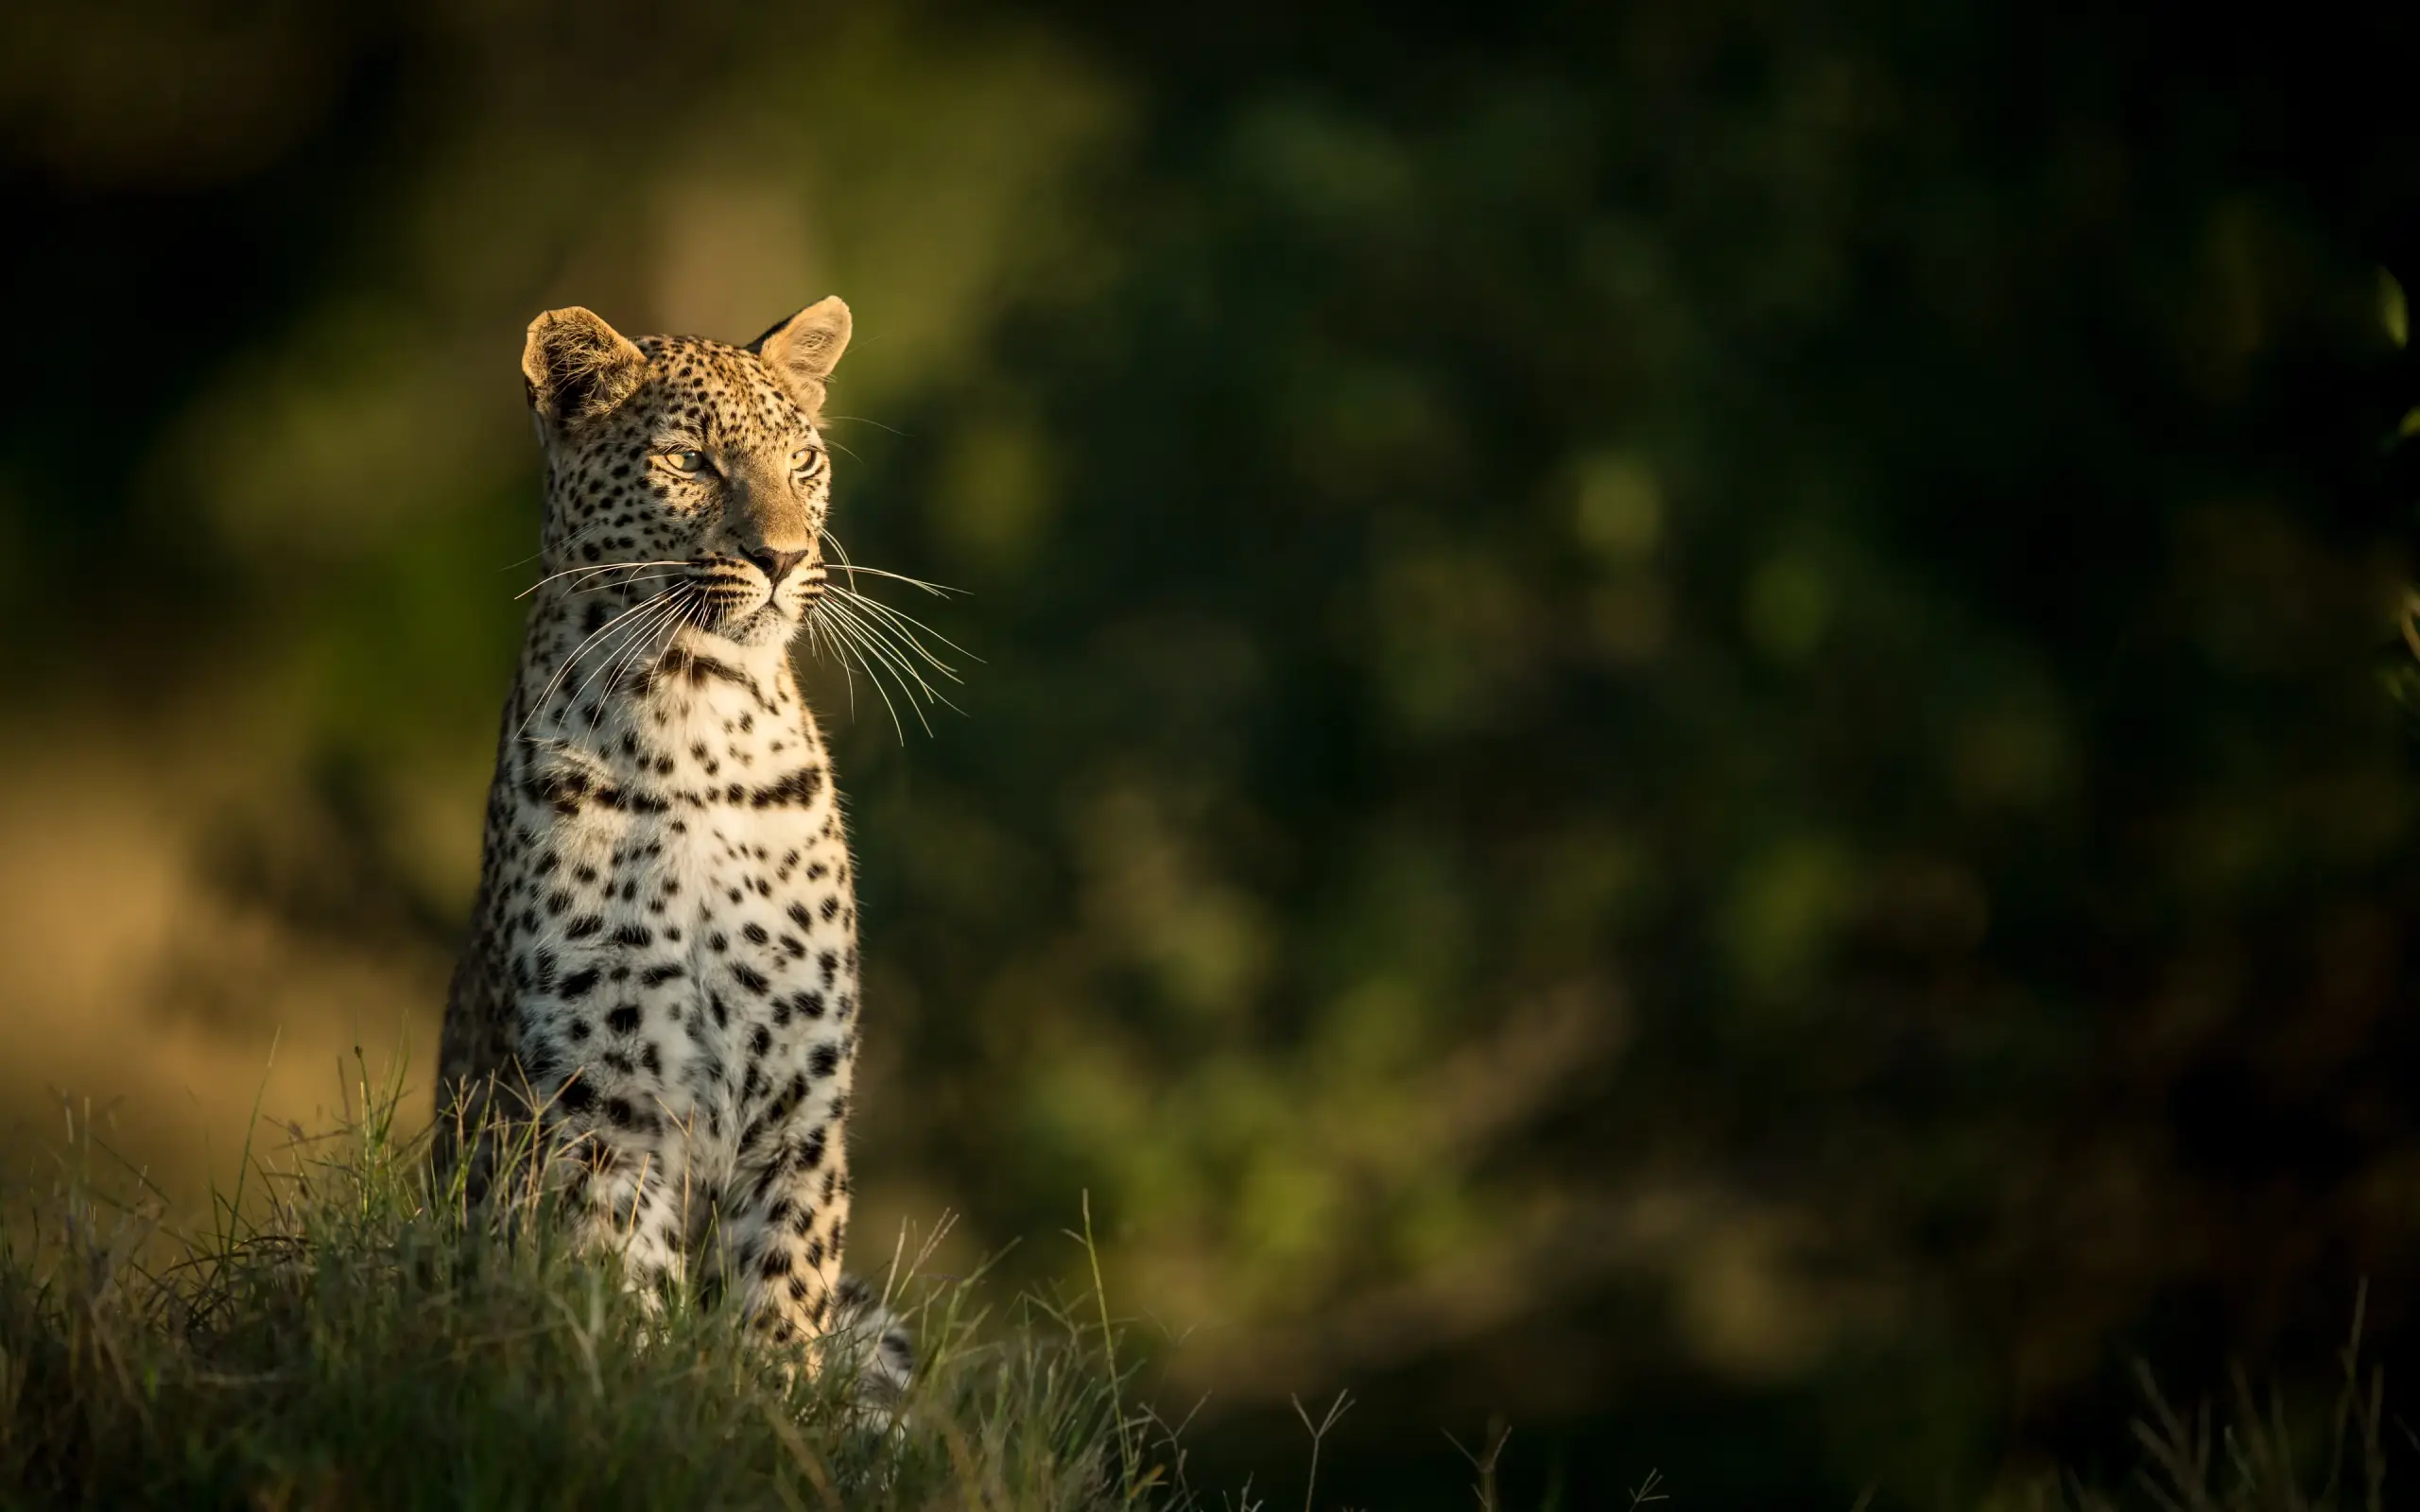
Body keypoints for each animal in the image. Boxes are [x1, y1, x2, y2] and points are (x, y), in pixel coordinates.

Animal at [437, 296, 911, 1402]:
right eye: (690, 461)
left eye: (804, 461)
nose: (784, 558)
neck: (697, 718)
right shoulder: (602, 1101)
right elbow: (618, 1281)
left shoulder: (798, 1106)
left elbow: (784, 1289)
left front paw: (772, 1412)